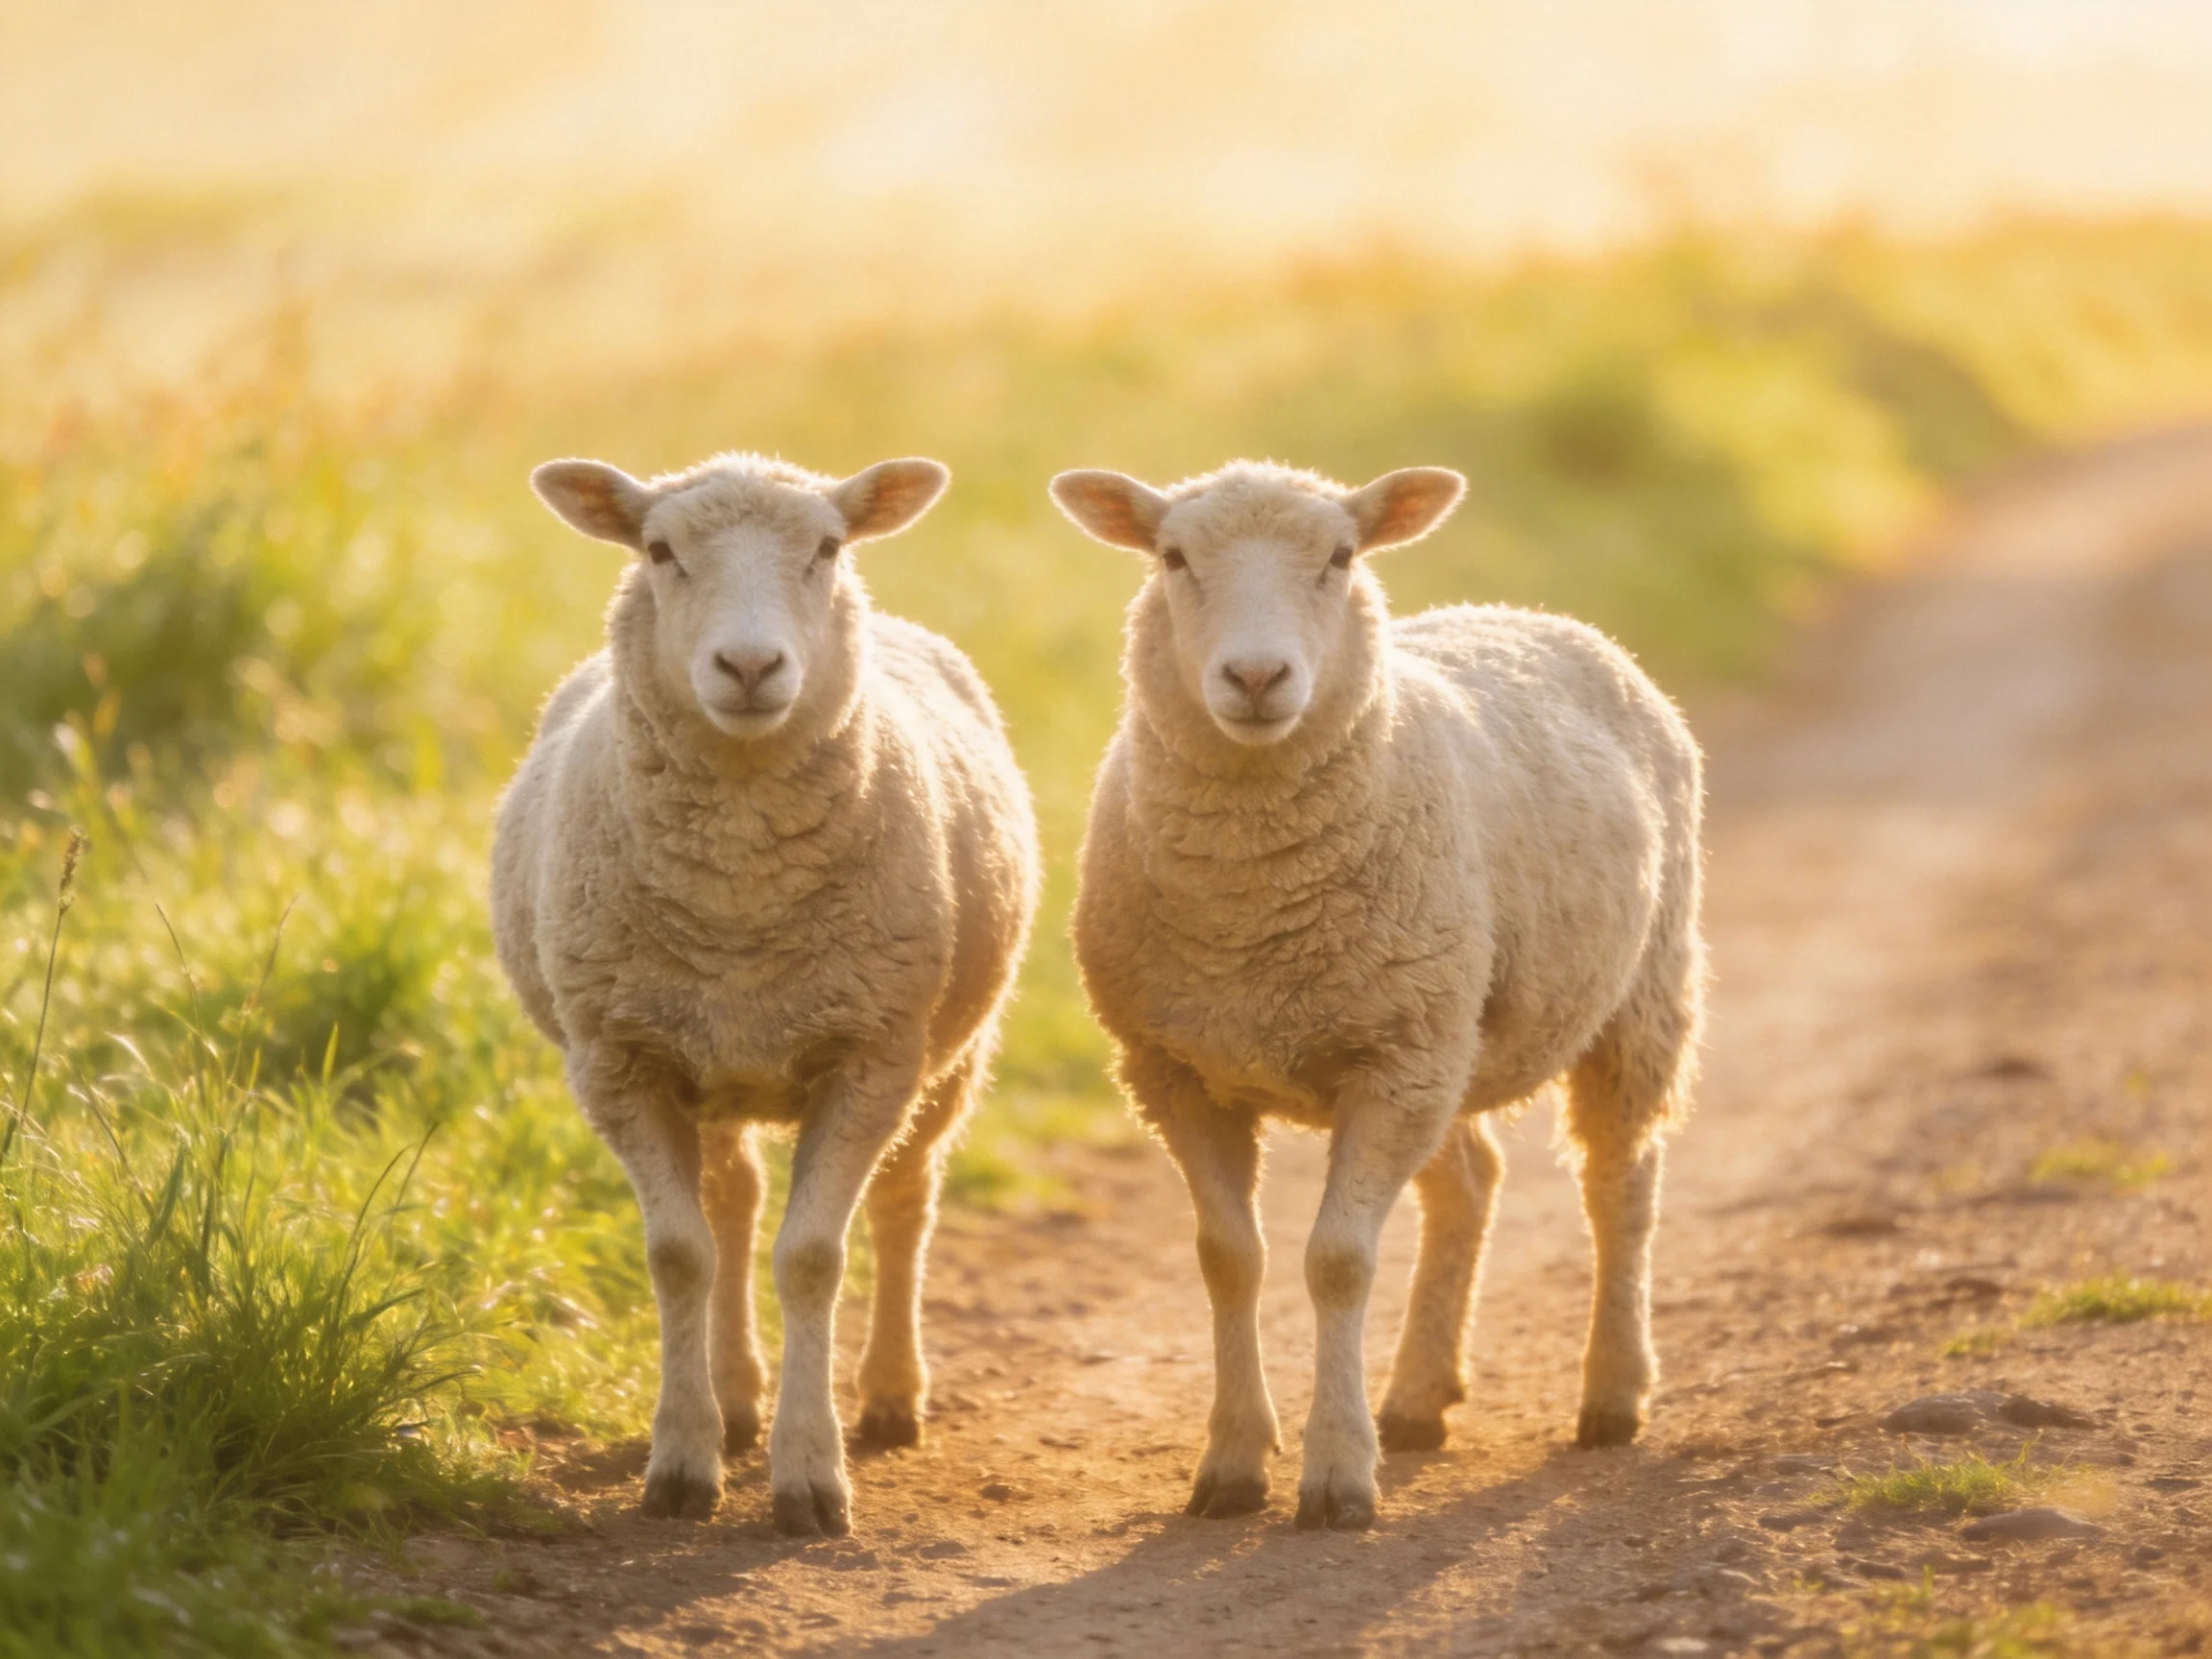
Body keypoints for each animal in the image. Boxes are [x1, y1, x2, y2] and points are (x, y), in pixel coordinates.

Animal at [493, 451, 1038, 1536]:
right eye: (660, 550)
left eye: (826, 548)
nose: (749, 668)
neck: (741, 899)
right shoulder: (618, 1061)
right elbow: (682, 1255)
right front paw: (681, 1461)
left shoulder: (871, 1055)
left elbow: (814, 1257)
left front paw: (812, 1475)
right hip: (709, 1056)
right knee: (732, 1205)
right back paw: (737, 1397)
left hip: (948, 1054)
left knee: (905, 1200)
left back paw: (889, 1395)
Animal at [1052, 459, 1703, 1531]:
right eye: (1173, 557)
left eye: (1342, 556)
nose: (1257, 679)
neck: (1253, 908)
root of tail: (1526, 613)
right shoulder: (1175, 1069)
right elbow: (1228, 1257)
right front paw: (1233, 1462)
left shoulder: (1391, 1064)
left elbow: (1337, 1263)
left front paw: (1337, 1476)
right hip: (1447, 1032)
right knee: (1472, 1184)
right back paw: (1417, 1399)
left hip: (1633, 998)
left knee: (1622, 1184)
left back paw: (1612, 1392)